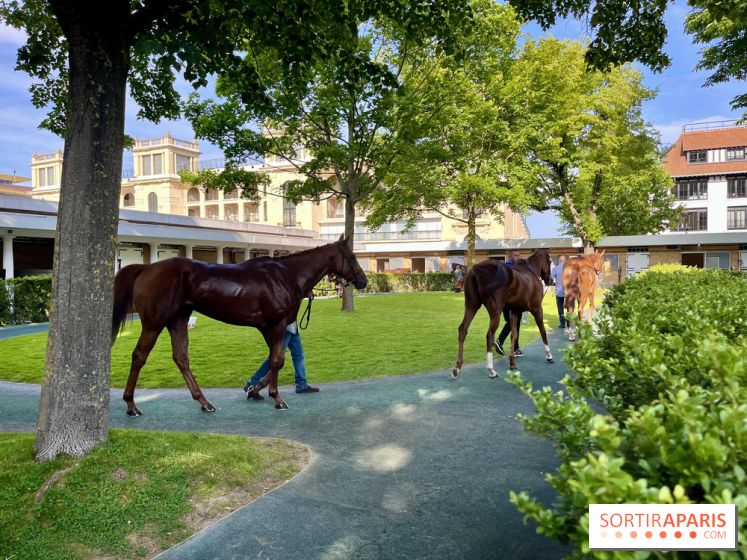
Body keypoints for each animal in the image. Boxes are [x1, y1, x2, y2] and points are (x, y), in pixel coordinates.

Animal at [111, 235, 367, 415]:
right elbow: (277, 360)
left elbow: (276, 360)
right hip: (154, 323)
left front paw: (256, 389)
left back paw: (204, 402)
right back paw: (131, 405)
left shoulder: (268, 328)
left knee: (181, 358)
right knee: (139, 356)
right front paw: (276, 398)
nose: (364, 281)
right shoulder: (276, 325)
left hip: (178, 321)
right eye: (352, 257)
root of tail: (147, 268)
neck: (287, 275)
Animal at [451, 248, 553, 377]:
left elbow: (514, 334)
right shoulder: (537, 308)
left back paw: (457, 367)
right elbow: (542, 331)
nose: (550, 280)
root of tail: (476, 269)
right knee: (490, 335)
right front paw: (549, 355)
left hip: (471, 306)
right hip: (495, 312)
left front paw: (512, 363)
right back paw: (491, 369)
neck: (530, 272)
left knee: (463, 329)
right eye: (550, 261)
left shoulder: (514, 311)